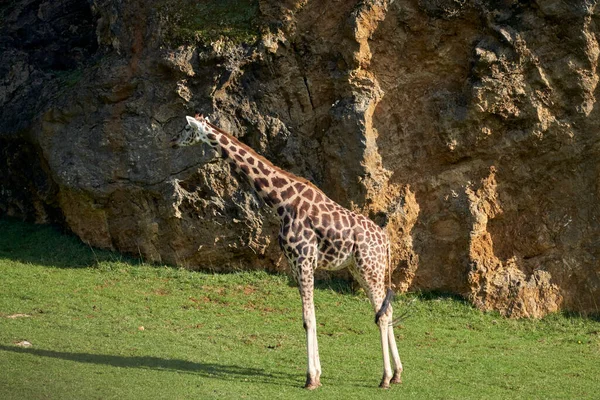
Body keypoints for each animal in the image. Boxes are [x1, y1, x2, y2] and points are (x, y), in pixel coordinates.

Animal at [170, 115, 404, 388]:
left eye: (186, 128)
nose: (172, 141)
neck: (282, 202)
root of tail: (386, 241)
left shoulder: (303, 259)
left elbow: (308, 318)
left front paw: (311, 378)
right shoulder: (296, 263)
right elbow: (311, 316)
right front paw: (317, 374)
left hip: (370, 268)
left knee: (383, 315)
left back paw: (385, 377)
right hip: (361, 269)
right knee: (387, 310)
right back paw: (397, 374)